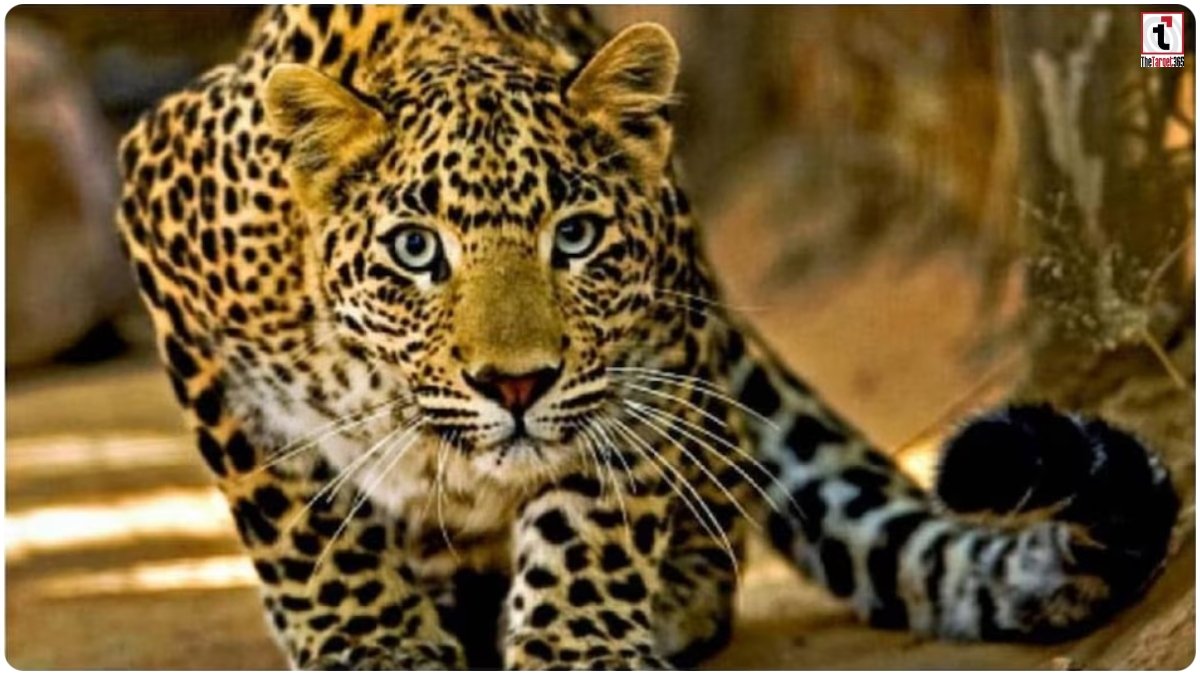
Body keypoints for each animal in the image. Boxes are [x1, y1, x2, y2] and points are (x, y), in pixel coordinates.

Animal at [115, 5, 1179, 669]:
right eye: (416, 249)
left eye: (576, 236)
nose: (516, 385)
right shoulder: (169, 242)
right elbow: (296, 511)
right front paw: (376, 643)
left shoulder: (650, 353)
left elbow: (595, 512)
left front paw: (577, 647)